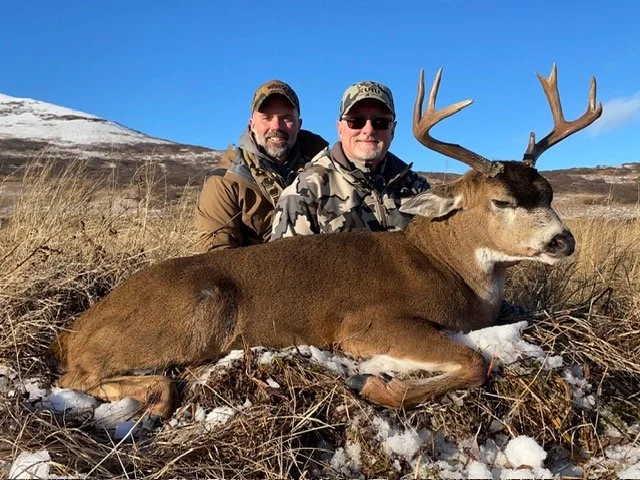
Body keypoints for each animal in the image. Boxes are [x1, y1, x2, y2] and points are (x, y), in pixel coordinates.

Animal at [52, 65, 602, 418]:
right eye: (502, 201)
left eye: (548, 192)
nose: (563, 241)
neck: (450, 269)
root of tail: (77, 329)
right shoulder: (367, 323)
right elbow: (476, 361)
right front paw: (372, 382)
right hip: (192, 315)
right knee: (77, 377)